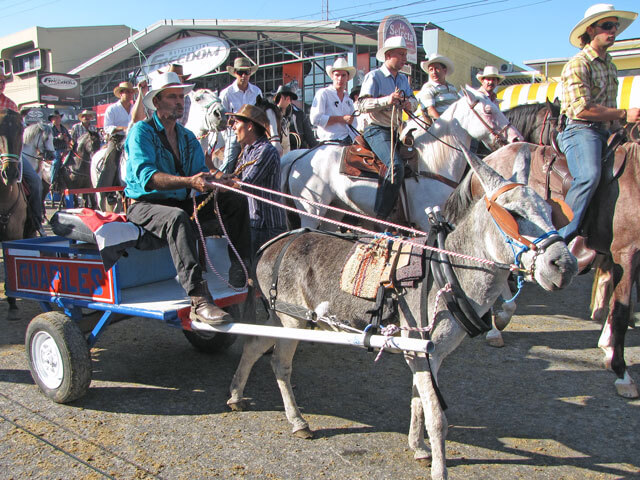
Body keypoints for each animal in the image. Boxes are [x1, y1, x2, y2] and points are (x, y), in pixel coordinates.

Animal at [228, 148, 576, 478]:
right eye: (513, 214)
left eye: (552, 212)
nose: (566, 266)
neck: (447, 270)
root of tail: (274, 244)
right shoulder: (421, 350)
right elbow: (437, 418)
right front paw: (439, 469)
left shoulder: (428, 353)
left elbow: (419, 401)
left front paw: (419, 448)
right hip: (292, 320)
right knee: (280, 364)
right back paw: (298, 421)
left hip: (284, 318)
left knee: (253, 344)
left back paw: (235, 395)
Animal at [282, 86, 524, 232]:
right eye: (488, 110)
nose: (516, 137)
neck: (432, 164)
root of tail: (301, 154)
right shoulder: (426, 222)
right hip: (310, 211)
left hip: (334, 210)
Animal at [478, 138, 640, 398]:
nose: (565, 264)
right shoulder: (626, 252)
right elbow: (621, 311)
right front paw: (622, 372)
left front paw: (608, 349)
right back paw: (497, 325)